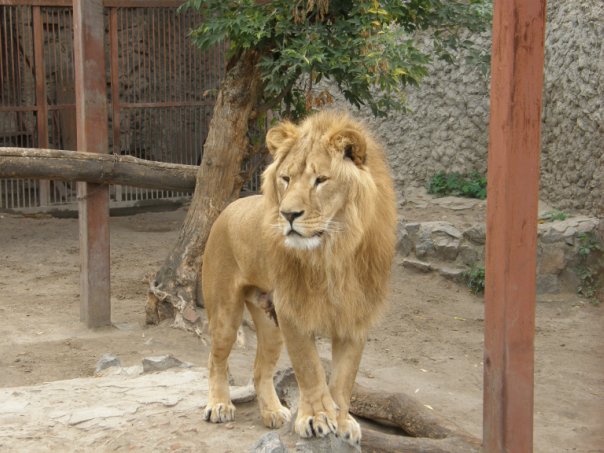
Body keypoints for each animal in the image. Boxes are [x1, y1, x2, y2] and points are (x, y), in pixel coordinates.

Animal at [201, 110, 398, 444]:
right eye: (286, 178)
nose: (288, 214)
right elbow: (310, 367)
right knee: (216, 359)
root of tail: (229, 207)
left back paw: (272, 412)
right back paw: (219, 405)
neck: (333, 252)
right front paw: (316, 417)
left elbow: (344, 377)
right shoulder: (292, 308)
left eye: (320, 180)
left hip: (270, 324)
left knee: (260, 371)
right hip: (225, 311)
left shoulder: (355, 314)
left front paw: (342, 422)